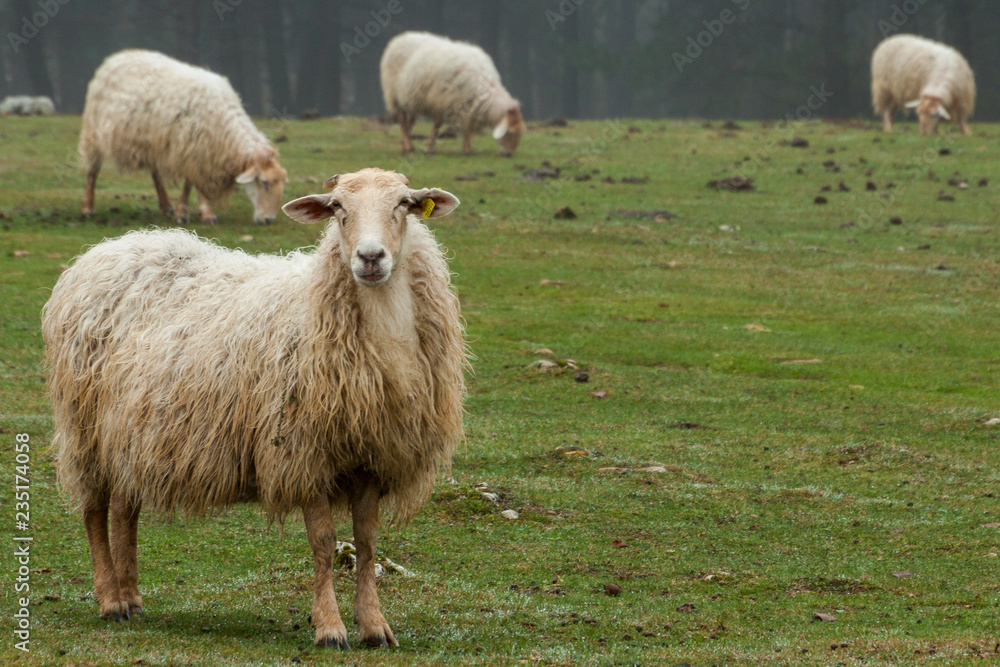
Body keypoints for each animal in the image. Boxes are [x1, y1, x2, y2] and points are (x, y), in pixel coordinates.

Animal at [43, 168, 465, 649]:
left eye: (404, 205)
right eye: (338, 209)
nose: (370, 257)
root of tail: (107, 249)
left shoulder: (371, 458)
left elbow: (368, 543)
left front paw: (374, 626)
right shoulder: (301, 454)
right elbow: (324, 543)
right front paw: (330, 627)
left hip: (129, 432)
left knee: (124, 510)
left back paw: (131, 599)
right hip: (84, 427)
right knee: (94, 511)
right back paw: (111, 602)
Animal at [79, 49, 287, 224]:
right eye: (264, 183)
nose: (268, 220)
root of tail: (116, 57)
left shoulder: (197, 150)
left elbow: (192, 183)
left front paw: (189, 211)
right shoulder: (191, 147)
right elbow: (192, 184)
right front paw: (200, 214)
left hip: (153, 141)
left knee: (155, 173)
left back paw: (166, 206)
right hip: (95, 131)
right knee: (93, 170)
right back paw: (88, 207)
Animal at [380, 31, 525, 156]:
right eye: (510, 133)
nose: (508, 154)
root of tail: (400, 37)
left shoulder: (468, 108)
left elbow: (467, 128)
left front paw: (468, 148)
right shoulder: (441, 101)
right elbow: (437, 125)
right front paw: (430, 148)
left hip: (411, 97)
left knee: (410, 121)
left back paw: (406, 146)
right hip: (394, 94)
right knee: (402, 120)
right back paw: (408, 146)